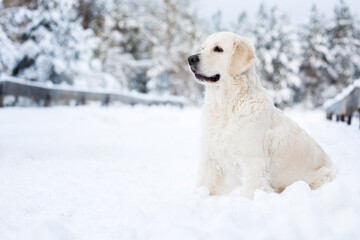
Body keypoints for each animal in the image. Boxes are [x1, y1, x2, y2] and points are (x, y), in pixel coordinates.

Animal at [188, 31, 334, 199]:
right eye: (202, 48)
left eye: (218, 49)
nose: (190, 58)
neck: (225, 108)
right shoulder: (210, 158)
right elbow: (203, 185)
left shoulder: (252, 162)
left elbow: (251, 191)